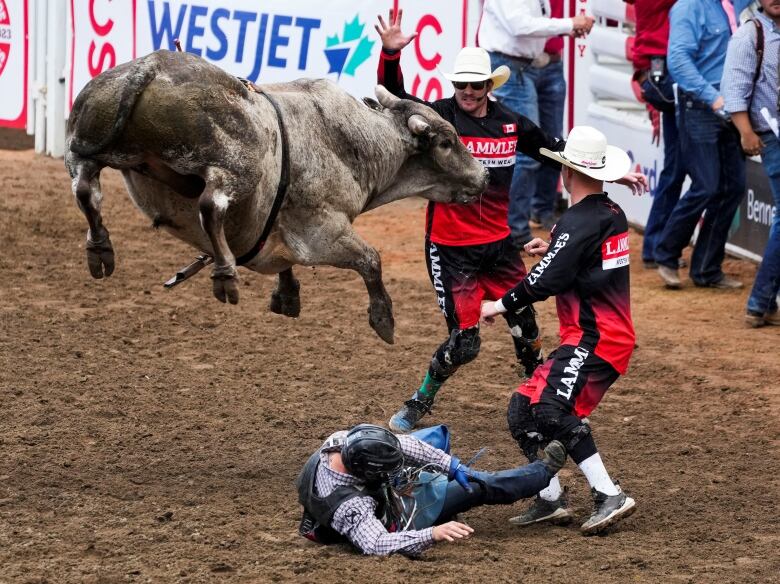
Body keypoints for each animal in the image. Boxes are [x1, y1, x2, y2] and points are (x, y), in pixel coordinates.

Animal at [65, 51, 488, 342]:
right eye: (447, 142)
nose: (483, 176)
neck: (355, 140)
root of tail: (150, 66)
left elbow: (283, 258)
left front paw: (286, 293)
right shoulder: (323, 231)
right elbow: (371, 259)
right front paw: (383, 318)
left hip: (82, 147)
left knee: (86, 189)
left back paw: (100, 248)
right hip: (235, 167)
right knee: (210, 206)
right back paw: (225, 273)